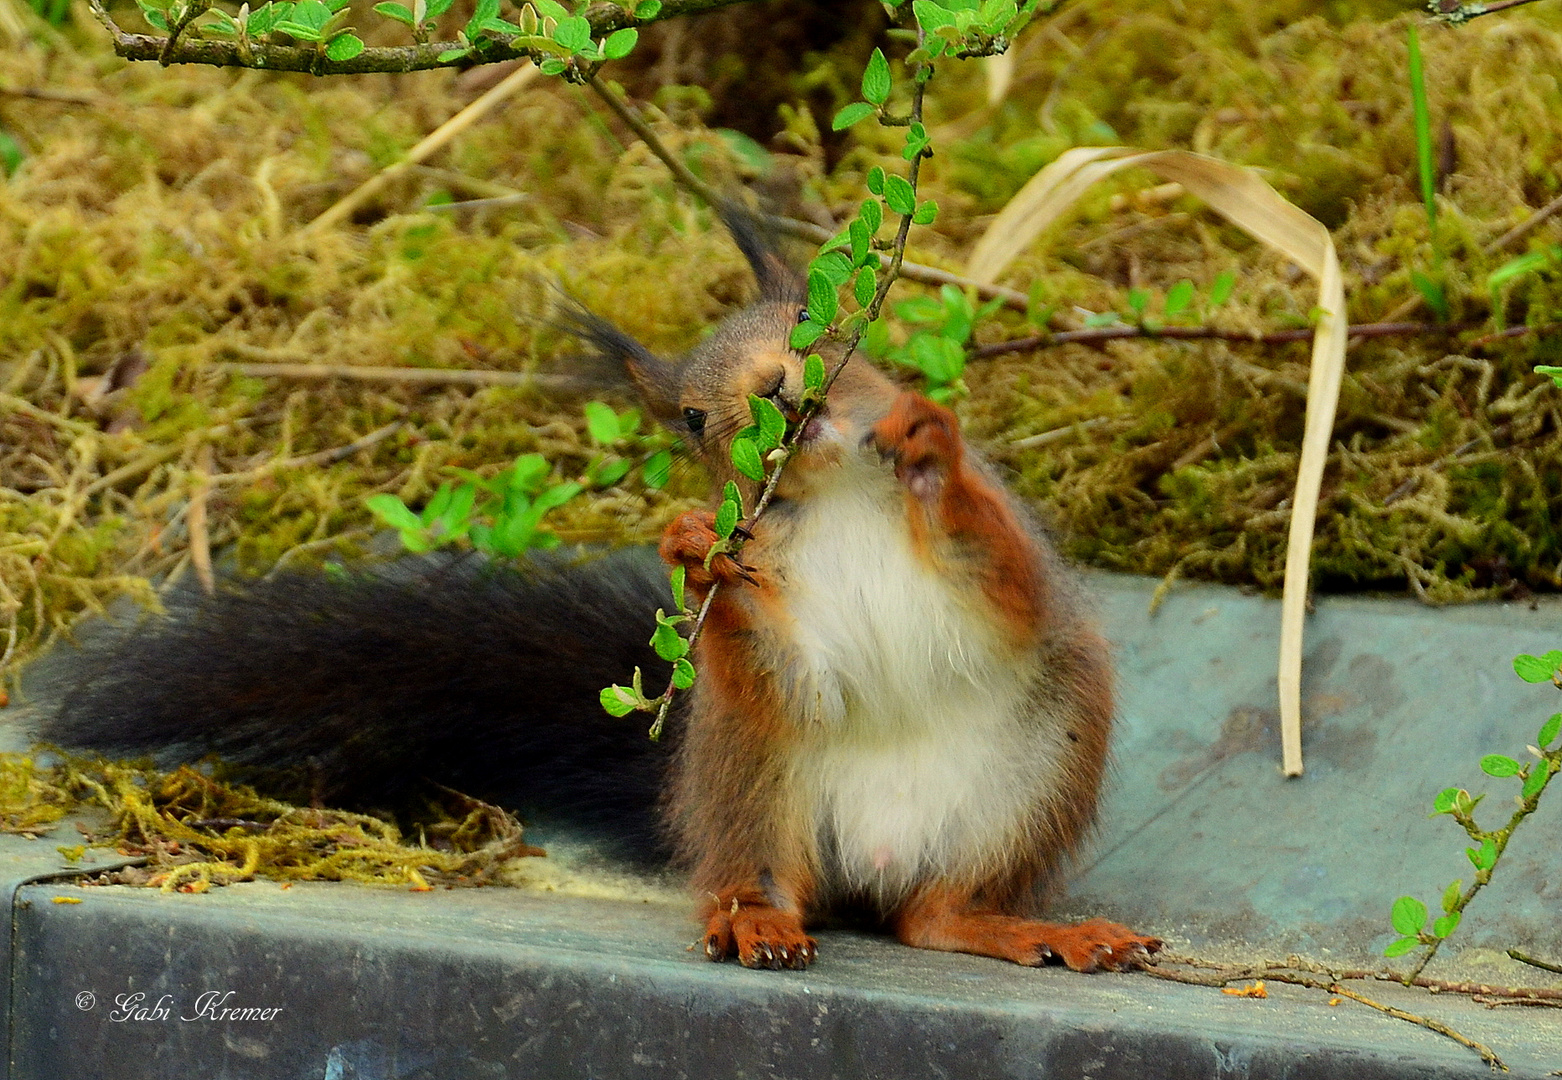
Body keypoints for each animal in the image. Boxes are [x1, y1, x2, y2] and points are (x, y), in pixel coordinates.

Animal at [48, 215, 1162, 975]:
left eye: (809, 320)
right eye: (688, 420)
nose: (770, 388)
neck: (837, 494)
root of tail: (875, 867)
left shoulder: (1007, 562)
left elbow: (1006, 582)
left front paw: (929, 451)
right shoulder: (784, 617)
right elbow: (790, 662)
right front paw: (696, 555)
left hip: (1032, 776)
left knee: (933, 917)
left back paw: (1037, 930)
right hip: (750, 777)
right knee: (771, 874)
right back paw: (755, 920)